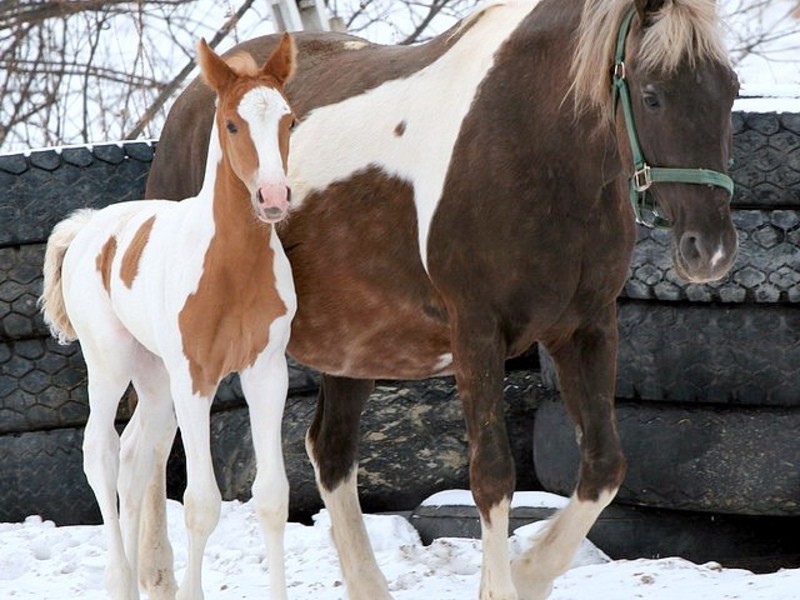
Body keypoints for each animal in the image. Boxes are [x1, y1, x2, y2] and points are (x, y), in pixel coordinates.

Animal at [39, 36, 296, 600]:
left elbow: (273, 496)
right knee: (102, 453)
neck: (231, 266)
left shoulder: (267, 372)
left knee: (135, 459)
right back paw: (118, 581)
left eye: (289, 121)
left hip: (154, 376)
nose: (272, 197)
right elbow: (201, 504)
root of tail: (88, 227)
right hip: (111, 365)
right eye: (232, 124)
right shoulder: (195, 378)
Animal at [145, 1, 736, 600]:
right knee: (147, 448)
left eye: (730, 91)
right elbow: (492, 475)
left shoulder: (586, 328)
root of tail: (190, 104)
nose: (709, 250)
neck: (530, 141)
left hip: (351, 345)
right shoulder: (477, 332)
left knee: (329, 451)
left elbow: (604, 467)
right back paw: (154, 574)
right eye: (653, 93)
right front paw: (505, 584)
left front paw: (528, 572)